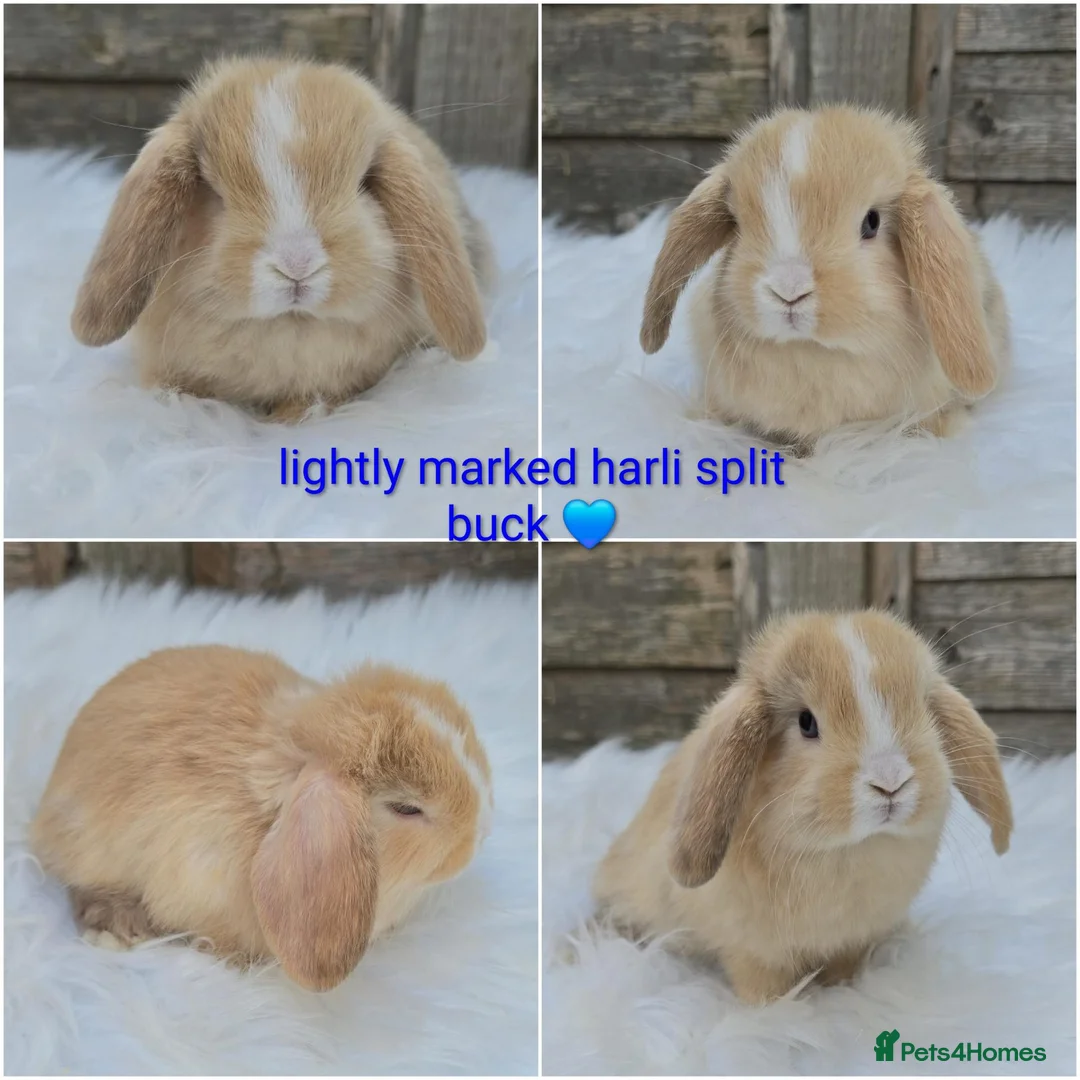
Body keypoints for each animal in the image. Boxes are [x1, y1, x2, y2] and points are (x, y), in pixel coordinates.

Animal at [594, 609, 1013, 1005]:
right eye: (806, 723)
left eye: (924, 711)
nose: (891, 781)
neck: (847, 852)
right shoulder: (752, 951)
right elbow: (762, 985)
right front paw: (776, 1011)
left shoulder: (852, 941)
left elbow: (845, 966)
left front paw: (845, 988)